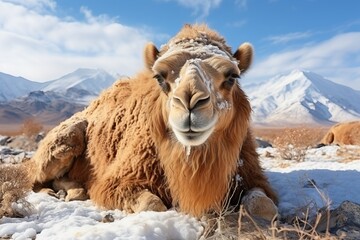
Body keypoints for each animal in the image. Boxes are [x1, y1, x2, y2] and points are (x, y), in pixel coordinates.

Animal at [31, 24, 278, 221]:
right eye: (160, 77)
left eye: (231, 77)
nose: (190, 103)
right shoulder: (115, 182)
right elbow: (153, 205)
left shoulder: (248, 174)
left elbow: (264, 206)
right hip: (67, 137)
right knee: (36, 178)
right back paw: (67, 191)